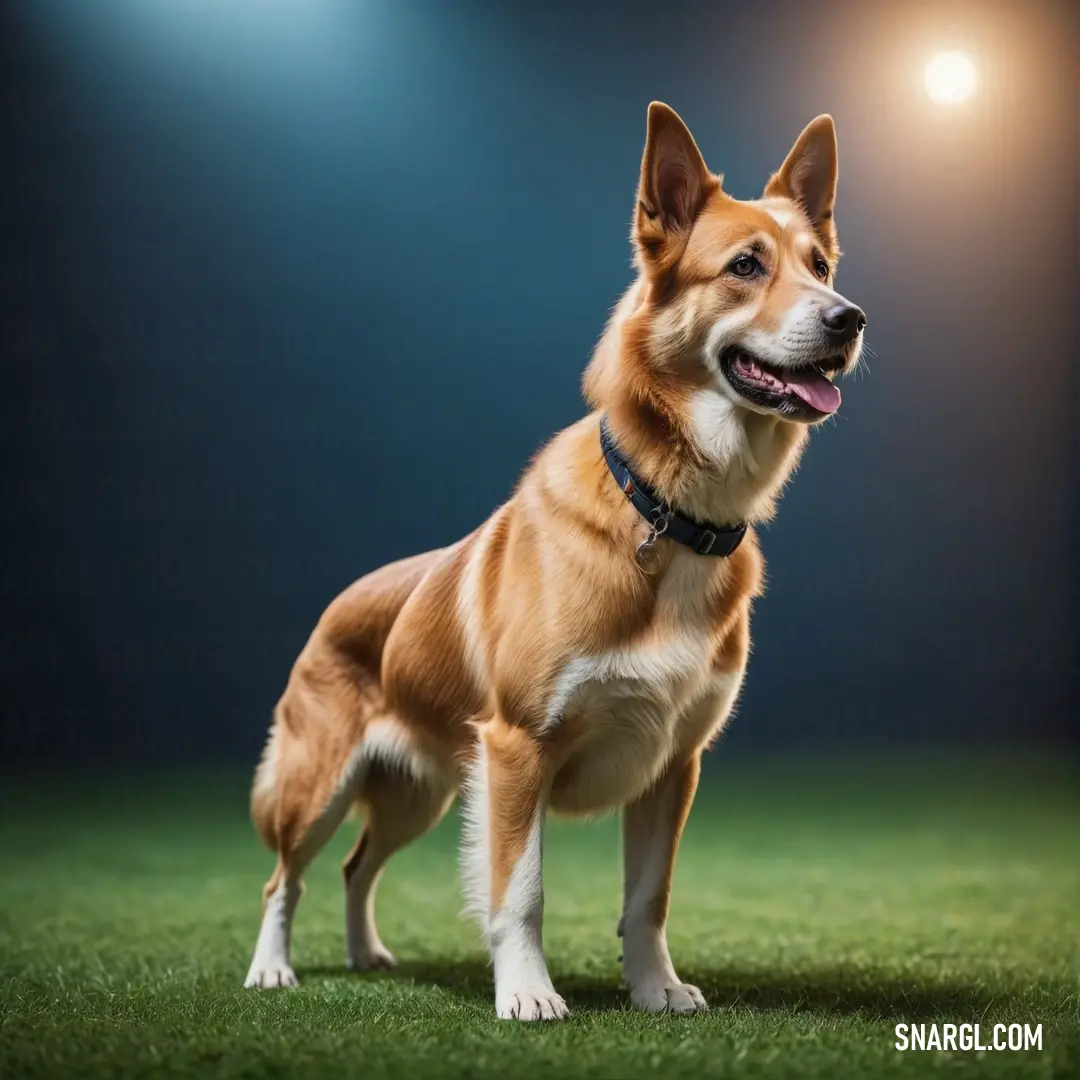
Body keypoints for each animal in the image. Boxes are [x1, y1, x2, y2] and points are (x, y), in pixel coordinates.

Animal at [240, 101, 864, 1019]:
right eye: (746, 267)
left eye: (820, 266)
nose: (849, 318)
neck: (668, 511)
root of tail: (339, 603)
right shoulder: (515, 751)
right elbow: (520, 891)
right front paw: (528, 995)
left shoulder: (673, 767)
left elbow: (649, 898)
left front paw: (656, 989)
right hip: (318, 786)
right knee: (284, 878)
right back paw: (271, 969)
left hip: (421, 791)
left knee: (358, 866)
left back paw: (366, 955)